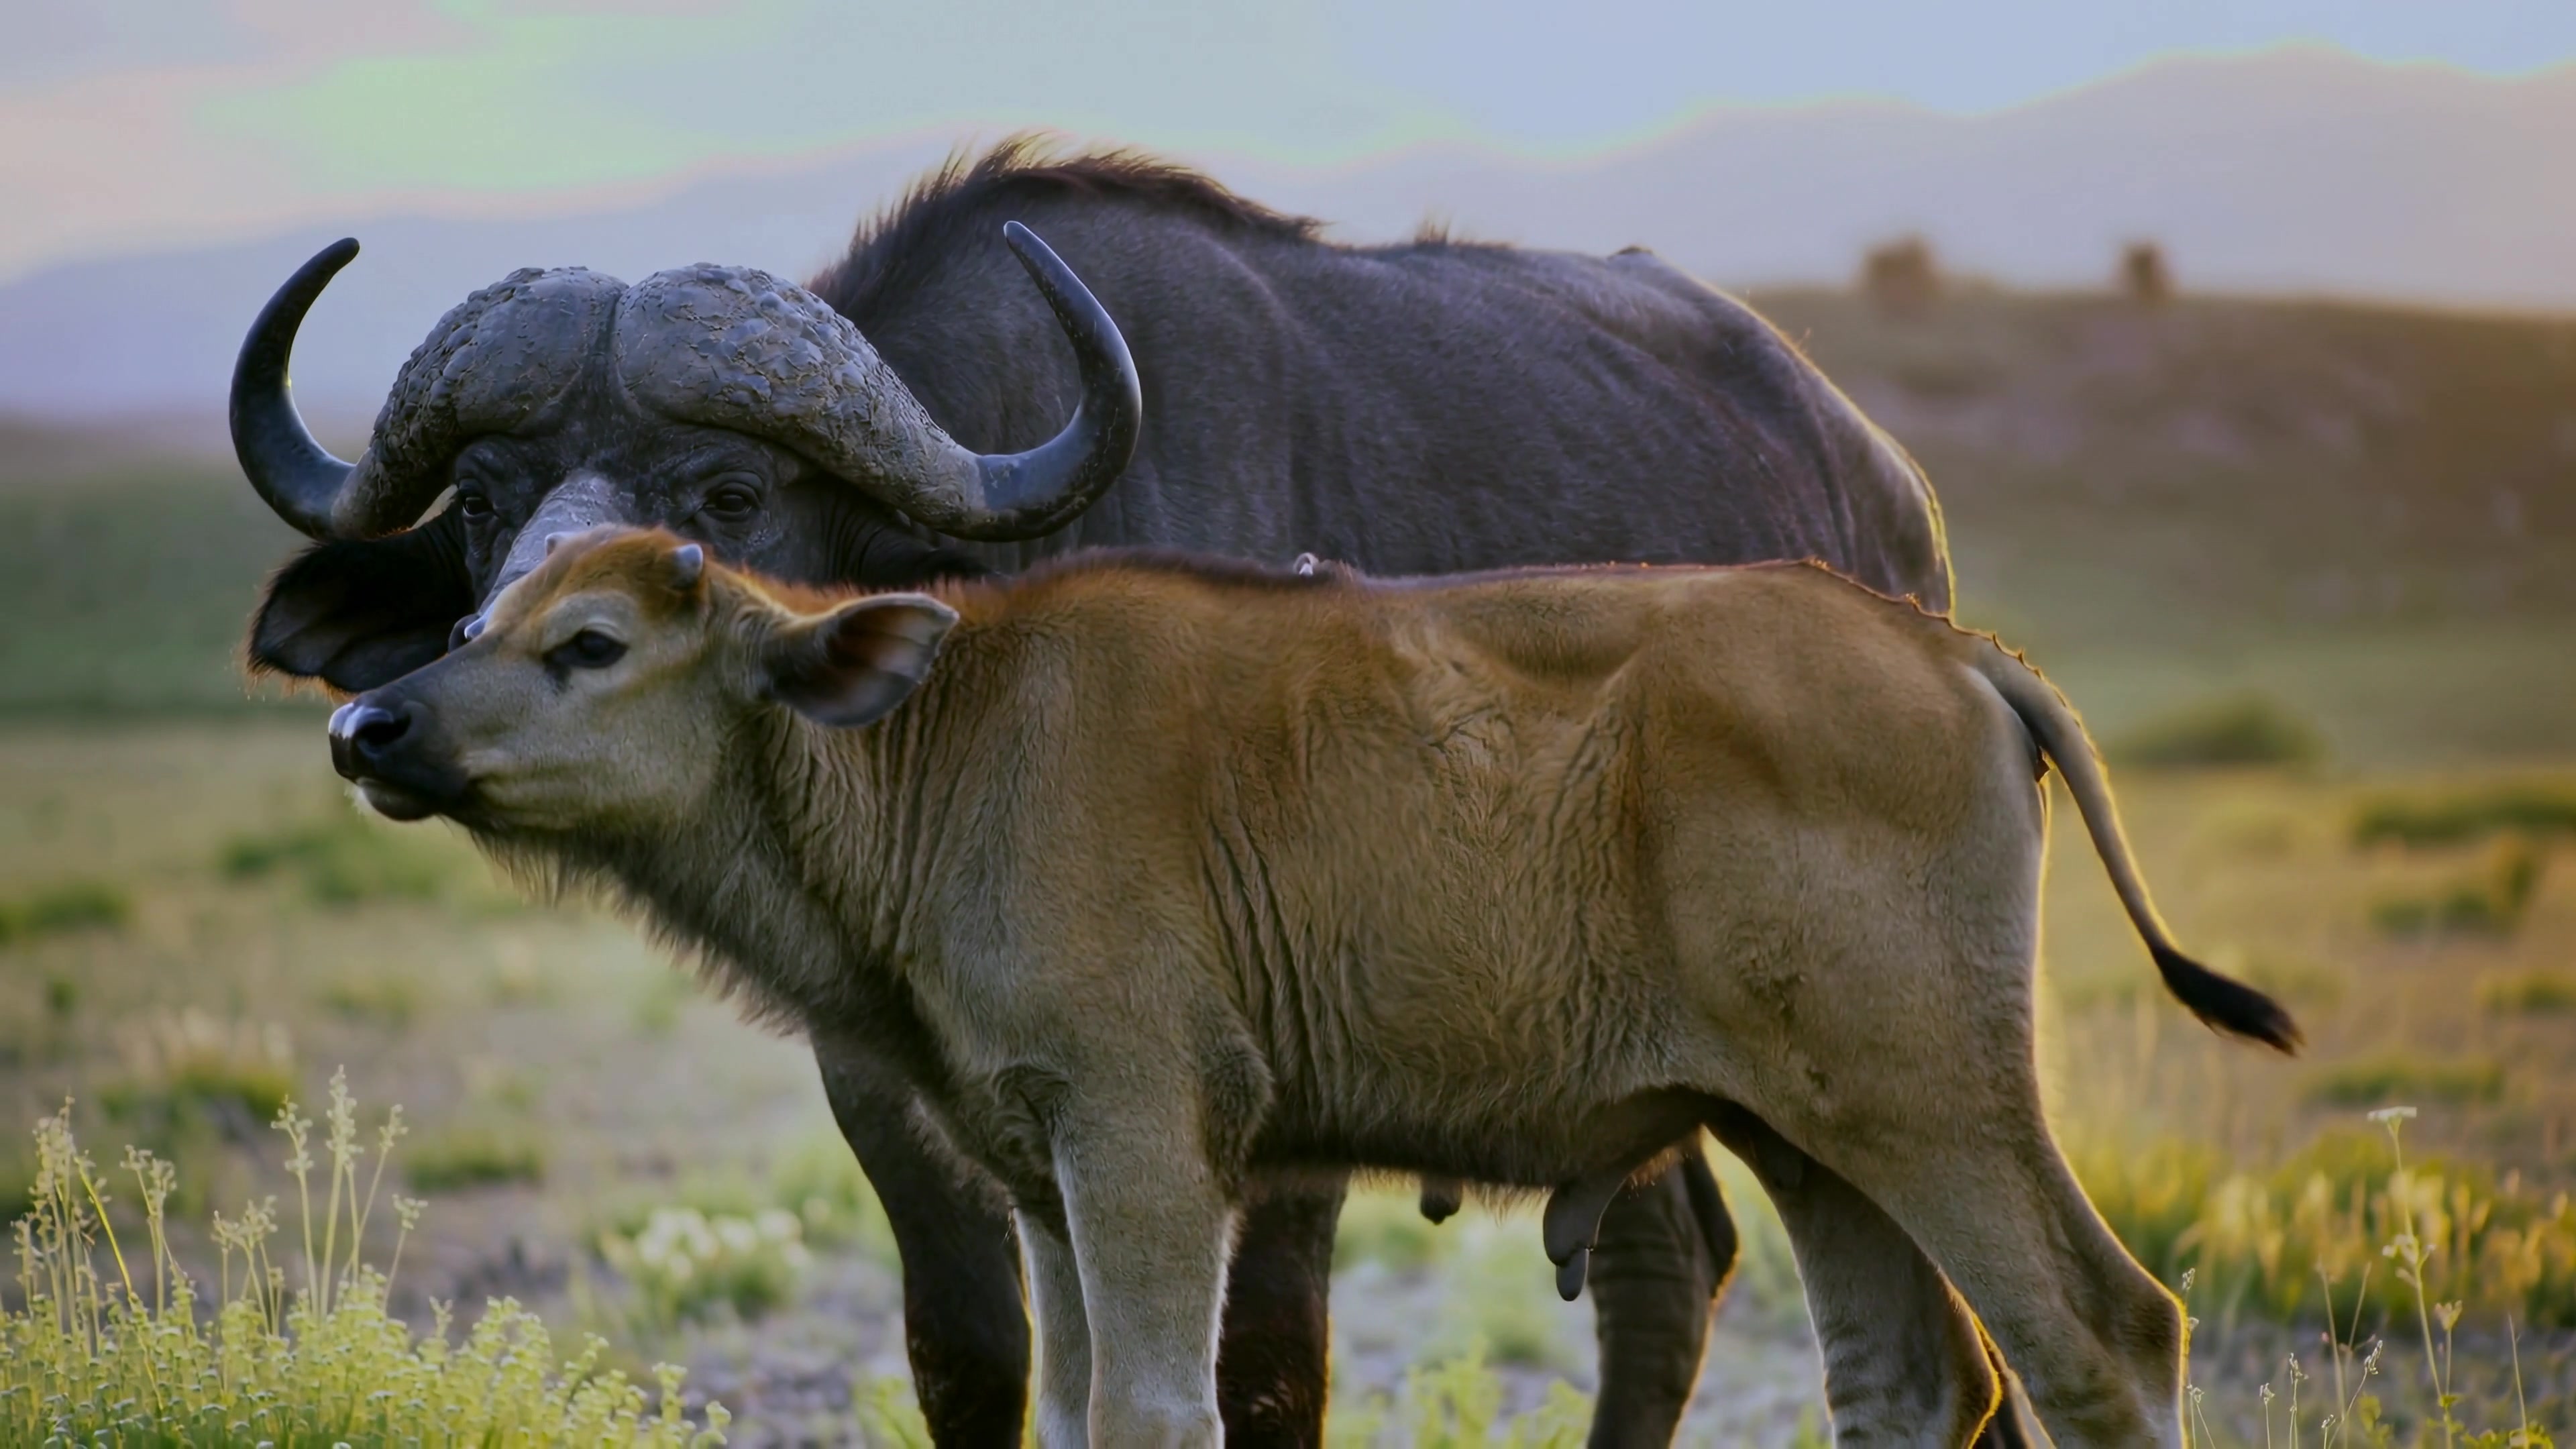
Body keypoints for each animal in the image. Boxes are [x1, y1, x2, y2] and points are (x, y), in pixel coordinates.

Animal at [323, 527, 2299, 1449]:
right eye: (477, 618)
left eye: (590, 643)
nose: (368, 726)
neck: (944, 736)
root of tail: (1950, 649)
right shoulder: (1041, 1179)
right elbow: (1070, 1405)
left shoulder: (1143, 1153)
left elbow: (1151, 1407)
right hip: (1813, 1141)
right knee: (1910, 1374)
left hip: (1935, 1112)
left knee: (2103, 1336)